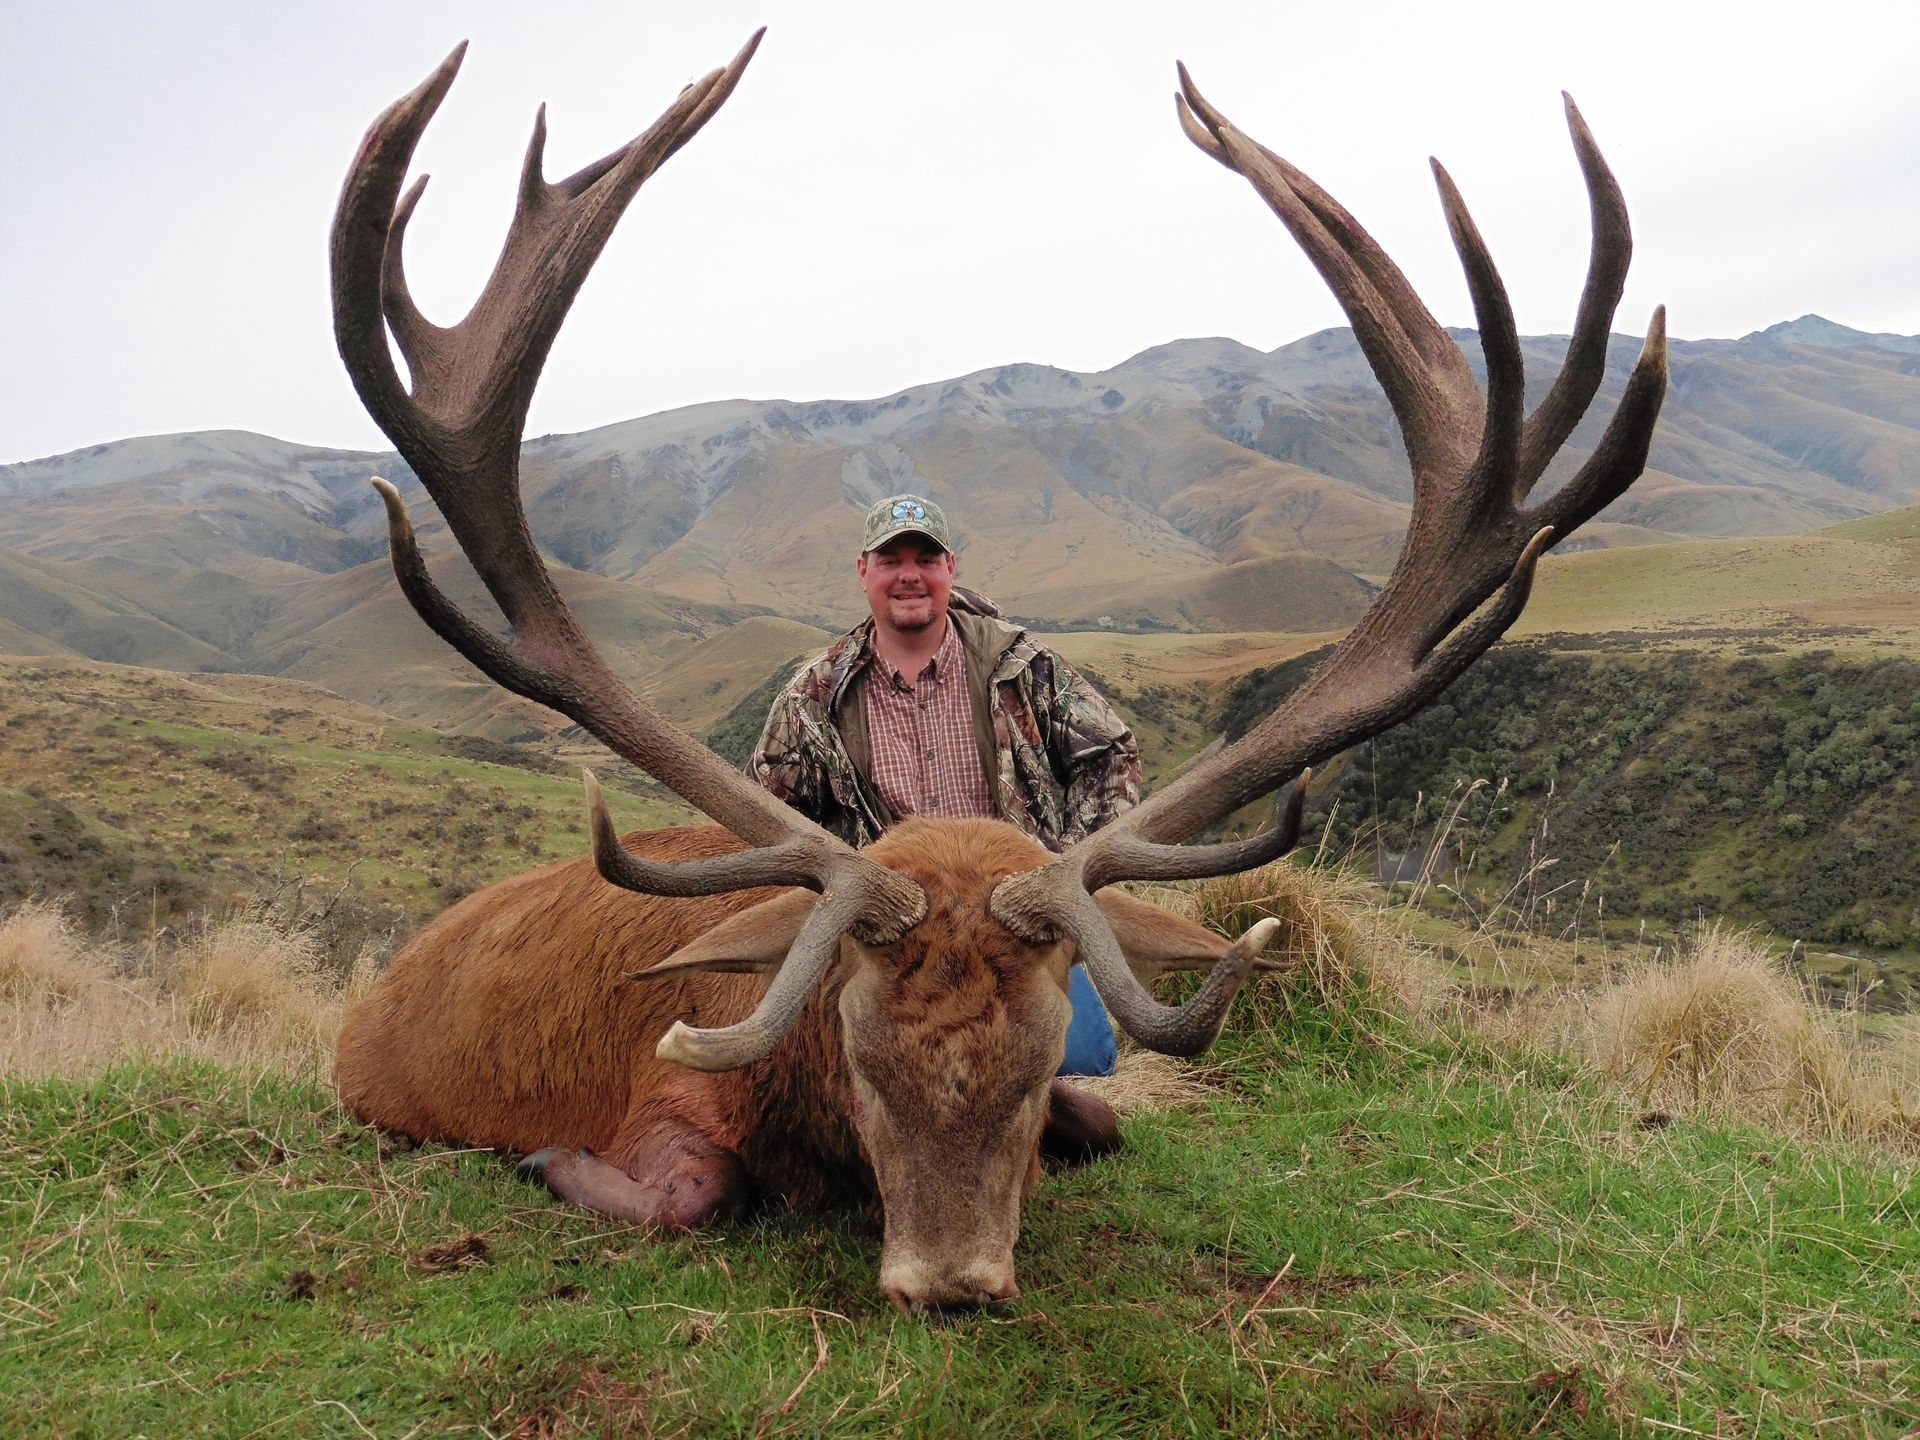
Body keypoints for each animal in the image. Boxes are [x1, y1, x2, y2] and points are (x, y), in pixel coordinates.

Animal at [330, 29, 1665, 1318]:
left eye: (1034, 1072)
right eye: (860, 1058)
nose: (952, 1285)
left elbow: (1108, 1118)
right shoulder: (671, 1088)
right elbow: (690, 1191)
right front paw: (544, 1157)